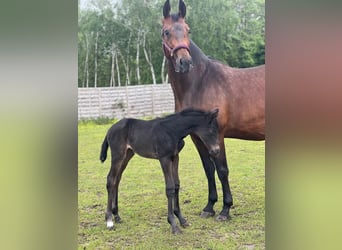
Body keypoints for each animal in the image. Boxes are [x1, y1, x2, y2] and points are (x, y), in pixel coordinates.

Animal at [162, 0, 266, 223]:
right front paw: (209, 207)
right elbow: (209, 170)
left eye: (188, 30)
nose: (185, 62)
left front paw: (225, 210)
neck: (200, 83)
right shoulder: (196, 136)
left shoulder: (217, 134)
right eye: (166, 31)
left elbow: (222, 170)